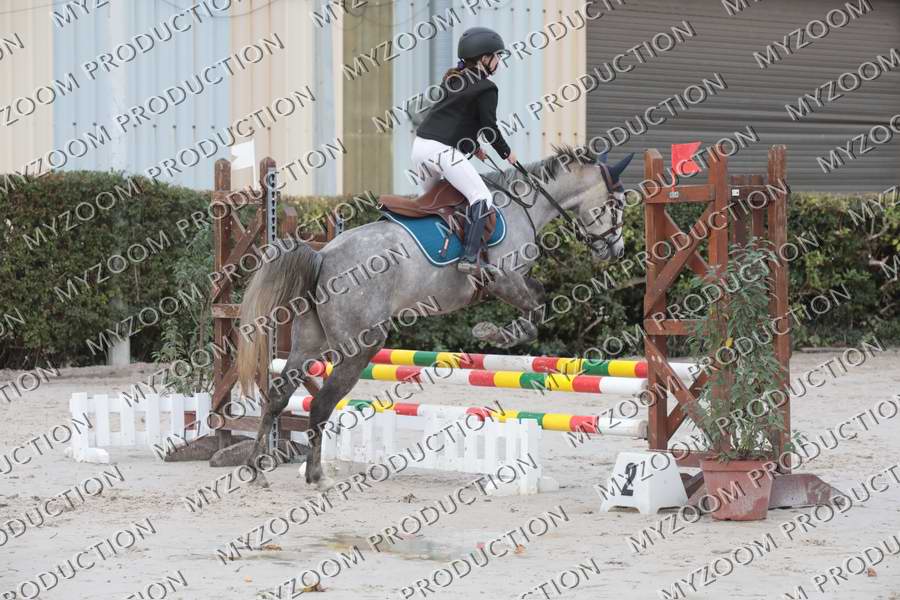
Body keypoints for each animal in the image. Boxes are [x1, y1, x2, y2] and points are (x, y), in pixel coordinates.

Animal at [236, 145, 632, 488]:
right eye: (616, 205)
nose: (616, 250)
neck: (525, 205)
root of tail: (323, 257)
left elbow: (537, 300)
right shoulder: (503, 278)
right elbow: (537, 306)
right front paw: (491, 332)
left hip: (309, 342)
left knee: (278, 396)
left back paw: (256, 470)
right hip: (360, 346)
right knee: (320, 404)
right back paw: (316, 476)